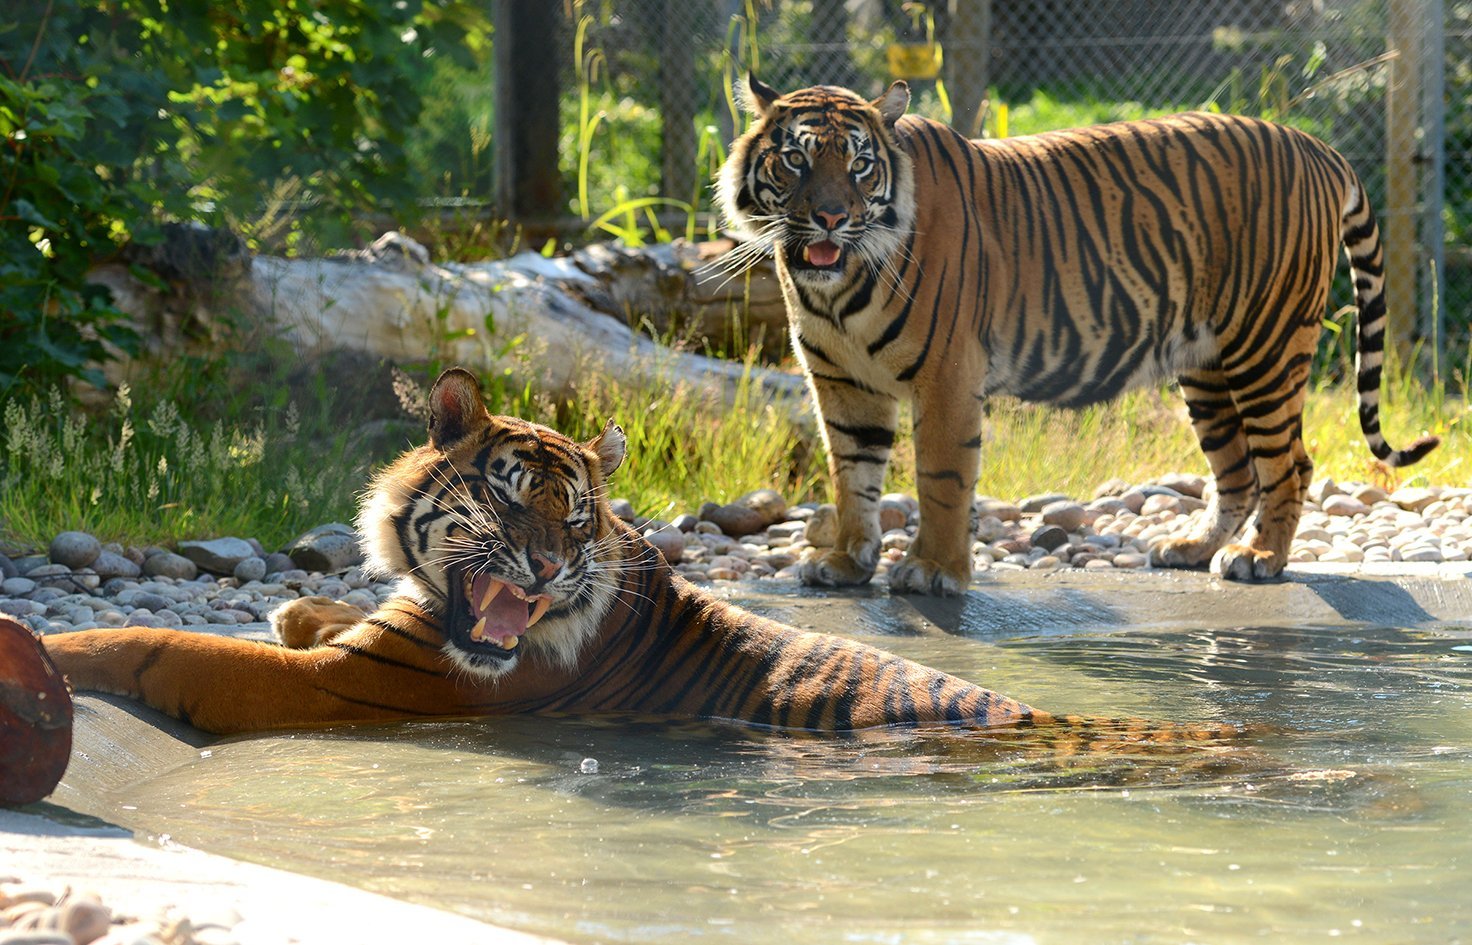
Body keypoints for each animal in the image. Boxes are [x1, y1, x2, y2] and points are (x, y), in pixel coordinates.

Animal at [28, 367, 1236, 741]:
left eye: (577, 520)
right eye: (514, 502)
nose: (543, 569)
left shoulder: (338, 687)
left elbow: (153, 643)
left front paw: (50, 646)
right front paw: (293, 602)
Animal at [712, 77, 1436, 591]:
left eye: (860, 165)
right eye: (796, 161)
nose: (832, 218)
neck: (833, 287)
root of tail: (1315, 146)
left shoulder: (947, 377)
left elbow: (940, 479)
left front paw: (933, 571)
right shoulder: (840, 381)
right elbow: (851, 476)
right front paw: (844, 562)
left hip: (1267, 347)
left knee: (1289, 463)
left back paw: (1258, 556)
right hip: (1206, 364)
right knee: (1236, 469)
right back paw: (1194, 548)